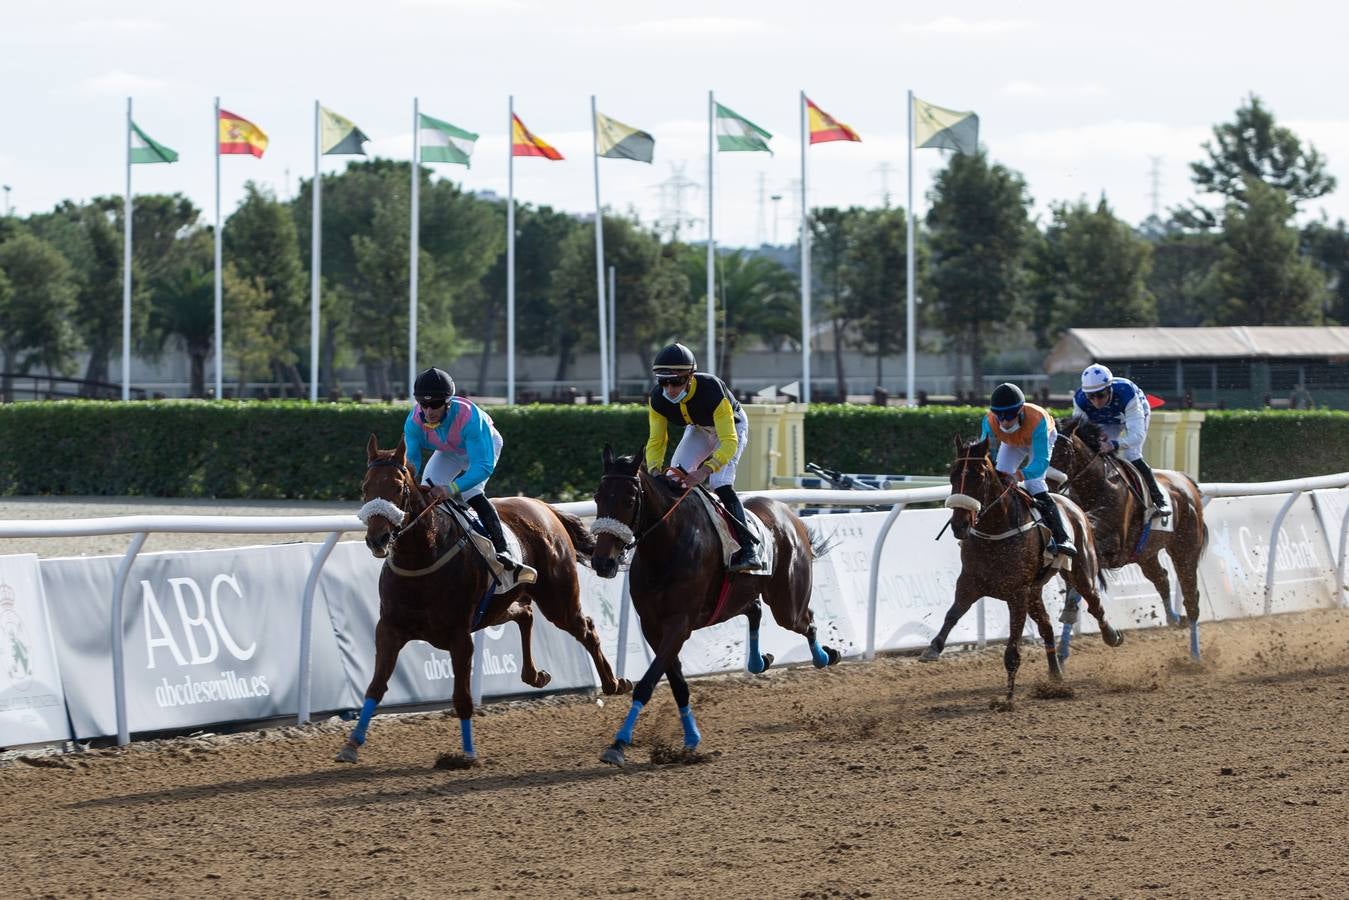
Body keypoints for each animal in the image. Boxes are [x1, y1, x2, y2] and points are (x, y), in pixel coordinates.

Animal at [337, 431, 631, 766]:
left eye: (398, 487)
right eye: (365, 487)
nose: (378, 539)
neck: (422, 557)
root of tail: (545, 508)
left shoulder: (460, 636)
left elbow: (462, 698)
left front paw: (466, 753)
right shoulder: (389, 629)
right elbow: (375, 688)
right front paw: (351, 744)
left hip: (559, 600)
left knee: (586, 629)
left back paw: (613, 683)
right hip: (497, 606)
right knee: (525, 613)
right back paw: (535, 675)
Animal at [593, 445, 841, 766]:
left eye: (630, 499)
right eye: (598, 496)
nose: (603, 562)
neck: (667, 545)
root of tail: (789, 515)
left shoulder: (679, 625)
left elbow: (647, 683)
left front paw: (619, 743)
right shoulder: (652, 626)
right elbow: (678, 685)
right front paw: (690, 738)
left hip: (787, 602)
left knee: (806, 620)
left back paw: (825, 655)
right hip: (738, 597)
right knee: (755, 609)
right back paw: (759, 660)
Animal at [917, 431, 1127, 707]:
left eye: (979, 477)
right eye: (952, 474)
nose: (959, 525)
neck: (996, 531)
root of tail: (1073, 506)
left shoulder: (1016, 593)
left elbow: (1013, 648)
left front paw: (1007, 697)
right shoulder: (970, 582)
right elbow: (952, 614)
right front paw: (933, 648)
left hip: (1080, 572)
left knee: (1095, 604)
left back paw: (1111, 635)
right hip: (1034, 591)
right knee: (1047, 626)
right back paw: (1055, 676)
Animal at [1046, 418, 1208, 658]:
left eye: (1063, 450)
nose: (1047, 486)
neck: (1098, 485)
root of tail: (1187, 481)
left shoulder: (1114, 549)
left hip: (1185, 550)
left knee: (1191, 599)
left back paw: (1196, 655)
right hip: (1145, 554)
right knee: (1161, 578)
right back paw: (1174, 618)